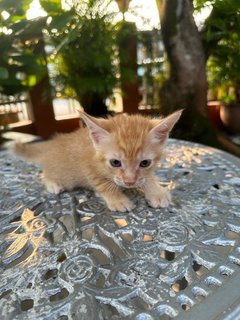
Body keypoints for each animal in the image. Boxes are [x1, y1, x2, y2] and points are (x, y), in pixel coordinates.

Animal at [13, 110, 182, 212]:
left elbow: (147, 177)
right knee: (44, 174)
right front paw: (117, 199)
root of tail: (53, 144)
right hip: (64, 174)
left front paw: (155, 191)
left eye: (145, 163)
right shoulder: (87, 165)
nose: (129, 182)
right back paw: (53, 184)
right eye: (115, 163)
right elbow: (103, 184)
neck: (94, 149)